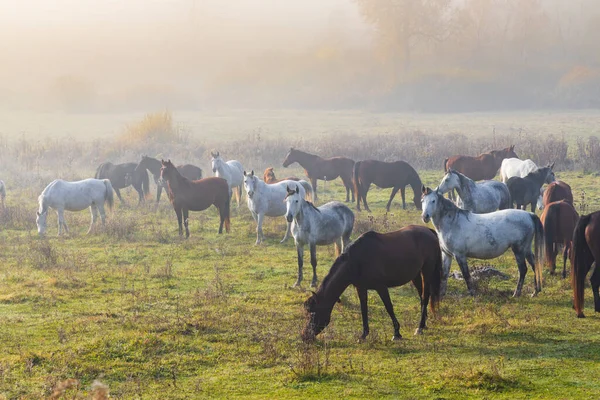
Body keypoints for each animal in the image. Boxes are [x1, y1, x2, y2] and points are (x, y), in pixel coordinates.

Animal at [302, 227, 442, 342]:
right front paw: (364, 334)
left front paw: (396, 333)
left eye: (312, 313)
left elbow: (389, 307)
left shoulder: (381, 287)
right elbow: (364, 309)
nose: (304, 336)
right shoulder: (361, 288)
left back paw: (419, 327)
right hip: (416, 275)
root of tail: (429, 231)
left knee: (425, 297)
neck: (356, 261)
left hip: (427, 271)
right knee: (422, 296)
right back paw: (423, 324)